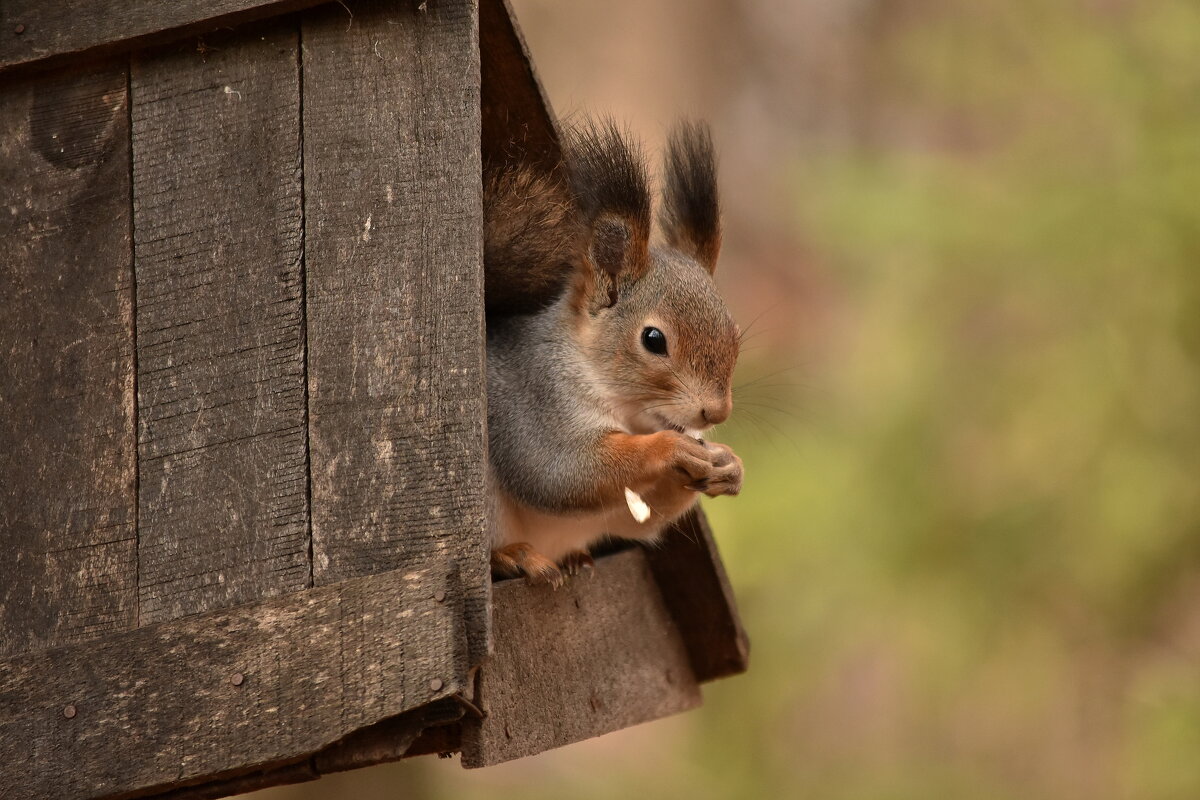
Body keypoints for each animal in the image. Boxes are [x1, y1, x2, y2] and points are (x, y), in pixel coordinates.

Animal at [480, 118, 739, 585]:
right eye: (653, 340)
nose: (716, 413)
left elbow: (638, 517)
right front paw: (667, 449)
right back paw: (513, 557)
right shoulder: (534, 402)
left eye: (735, 333)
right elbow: (559, 472)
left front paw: (730, 466)